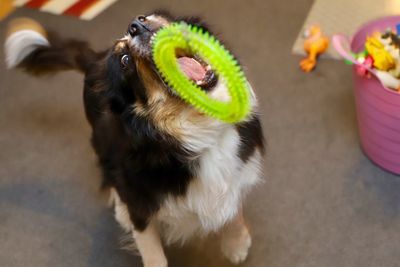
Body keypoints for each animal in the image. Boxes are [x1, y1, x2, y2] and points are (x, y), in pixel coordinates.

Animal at [5, 11, 266, 266]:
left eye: (148, 17)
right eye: (125, 61)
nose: (136, 26)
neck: (195, 134)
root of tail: (96, 59)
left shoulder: (236, 171)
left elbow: (233, 205)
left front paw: (236, 242)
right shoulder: (140, 206)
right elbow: (153, 254)